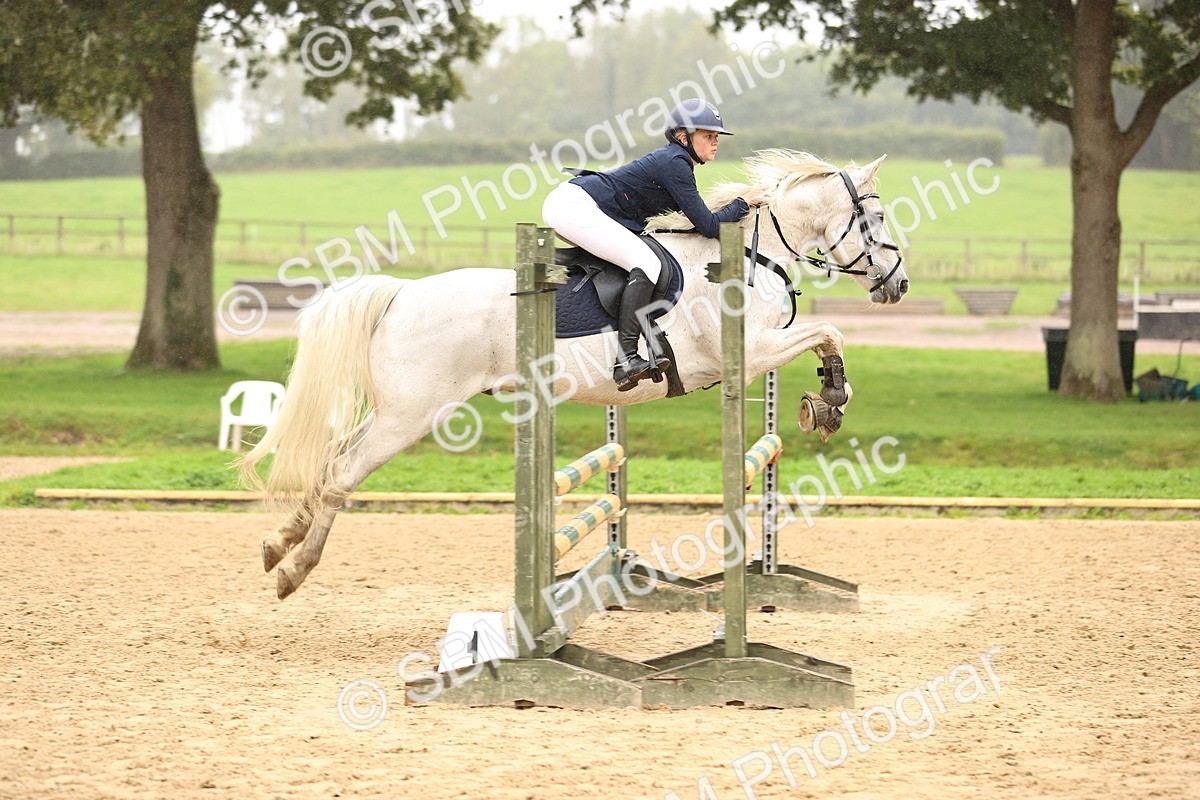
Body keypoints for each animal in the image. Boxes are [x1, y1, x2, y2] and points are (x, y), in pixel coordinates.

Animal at [236, 149, 909, 600]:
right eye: (874, 221)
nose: (898, 285)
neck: (748, 254)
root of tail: (402, 294)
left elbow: (827, 337)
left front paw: (826, 401)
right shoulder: (749, 350)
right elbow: (828, 333)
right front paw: (830, 399)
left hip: (395, 410)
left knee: (333, 458)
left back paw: (277, 542)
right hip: (412, 414)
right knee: (344, 472)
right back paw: (295, 568)